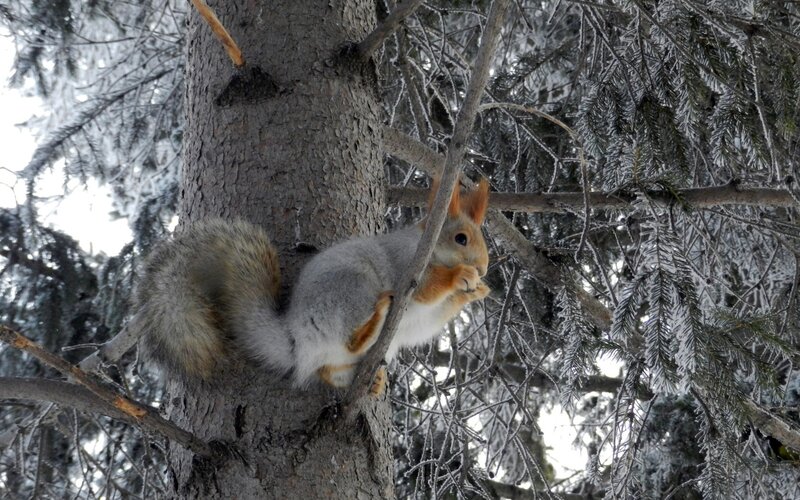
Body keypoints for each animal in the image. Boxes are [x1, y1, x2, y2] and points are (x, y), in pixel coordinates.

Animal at [134, 179, 491, 394]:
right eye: (461, 238)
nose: (485, 267)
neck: (427, 247)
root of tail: (297, 341)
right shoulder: (406, 264)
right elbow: (426, 288)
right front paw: (461, 277)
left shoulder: (427, 317)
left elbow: (431, 319)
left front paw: (477, 291)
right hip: (352, 291)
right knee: (351, 341)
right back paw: (374, 322)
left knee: (330, 371)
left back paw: (372, 380)